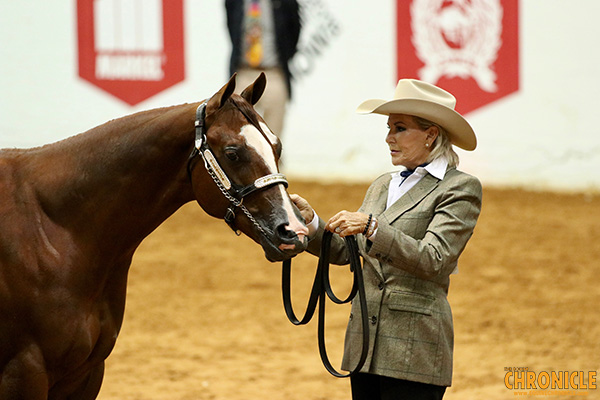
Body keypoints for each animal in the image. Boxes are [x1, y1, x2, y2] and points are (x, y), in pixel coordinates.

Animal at [0, 73, 308, 398]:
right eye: (232, 153)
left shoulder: (87, 374)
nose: (294, 230)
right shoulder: (24, 373)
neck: (55, 231)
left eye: (277, 146)